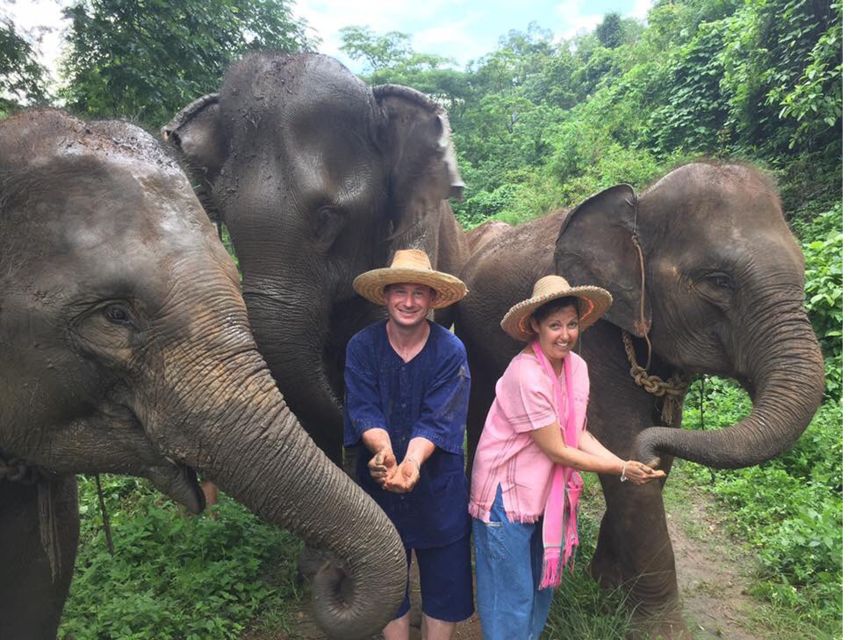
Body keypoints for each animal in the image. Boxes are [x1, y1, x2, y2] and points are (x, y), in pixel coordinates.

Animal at [454, 162, 824, 638]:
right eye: (718, 282)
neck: (638, 208)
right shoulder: (594, 333)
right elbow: (620, 441)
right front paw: (659, 628)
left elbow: (655, 450)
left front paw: (606, 584)